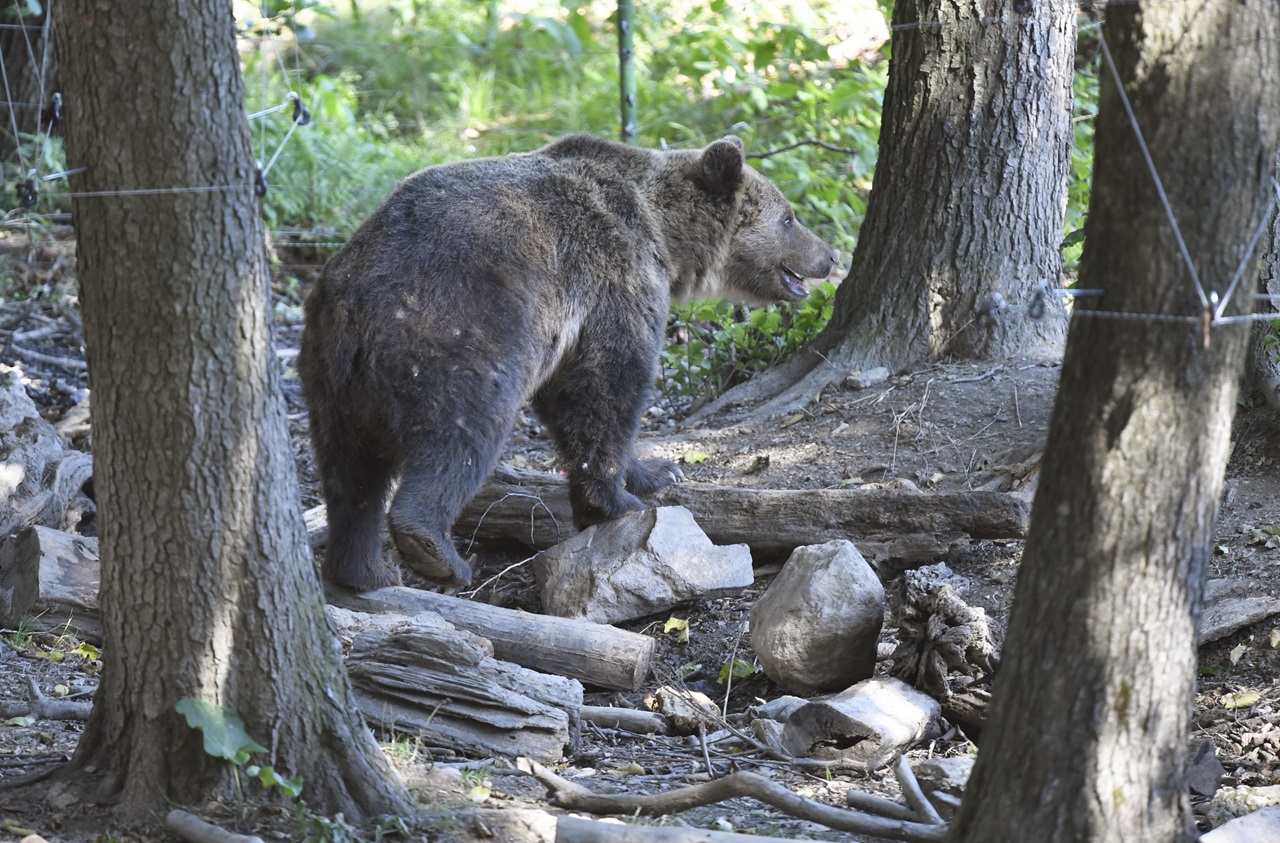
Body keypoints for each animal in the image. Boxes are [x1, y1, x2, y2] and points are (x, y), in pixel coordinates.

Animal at [299, 133, 839, 593]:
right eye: (789, 218)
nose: (830, 255)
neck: (664, 236)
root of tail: (355, 300)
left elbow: (570, 399)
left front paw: (658, 471)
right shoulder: (612, 278)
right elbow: (606, 387)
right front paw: (614, 501)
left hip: (330, 376)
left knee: (350, 477)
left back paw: (363, 570)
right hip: (457, 335)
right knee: (459, 434)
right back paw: (436, 551)